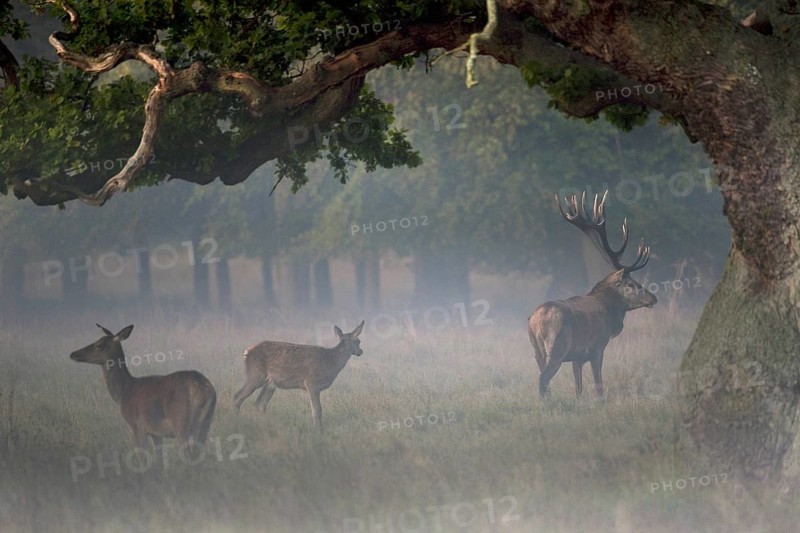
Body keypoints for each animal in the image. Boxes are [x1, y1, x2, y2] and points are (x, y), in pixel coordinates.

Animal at [69, 324, 217, 464]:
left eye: (99, 344)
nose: (73, 354)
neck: (124, 392)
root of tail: (203, 388)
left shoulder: (138, 425)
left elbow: (141, 458)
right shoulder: (157, 433)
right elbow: (159, 461)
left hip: (181, 423)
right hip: (205, 424)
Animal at [233, 321, 364, 430]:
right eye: (358, 341)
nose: (361, 352)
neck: (330, 362)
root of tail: (247, 352)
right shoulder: (312, 382)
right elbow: (317, 410)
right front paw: (318, 430)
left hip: (270, 383)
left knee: (260, 403)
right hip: (255, 374)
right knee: (238, 396)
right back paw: (236, 420)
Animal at [529, 191, 657, 398]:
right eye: (632, 284)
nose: (654, 298)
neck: (610, 314)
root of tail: (535, 322)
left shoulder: (577, 357)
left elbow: (579, 388)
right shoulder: (597, 348)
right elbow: (599, 386)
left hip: (536, 351)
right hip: (556, 348)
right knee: (543, 379)